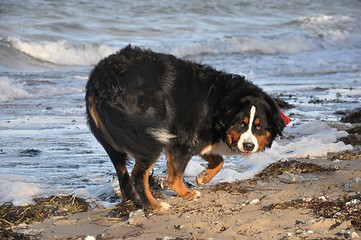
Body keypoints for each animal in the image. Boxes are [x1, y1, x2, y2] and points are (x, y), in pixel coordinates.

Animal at [86, 46, 288, 211]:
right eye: (241, 123)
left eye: (259, 126)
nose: (248, 146)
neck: (221, 103)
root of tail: (103, 81)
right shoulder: (182, 140)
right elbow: (175, 176)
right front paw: (187, 192)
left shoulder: (200, 140)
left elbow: (218, 160)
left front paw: (203, 177)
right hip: (147, 137)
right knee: (138, 176)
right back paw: (154, 205)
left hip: (116, 140)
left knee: (123, 175)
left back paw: (132, 201)